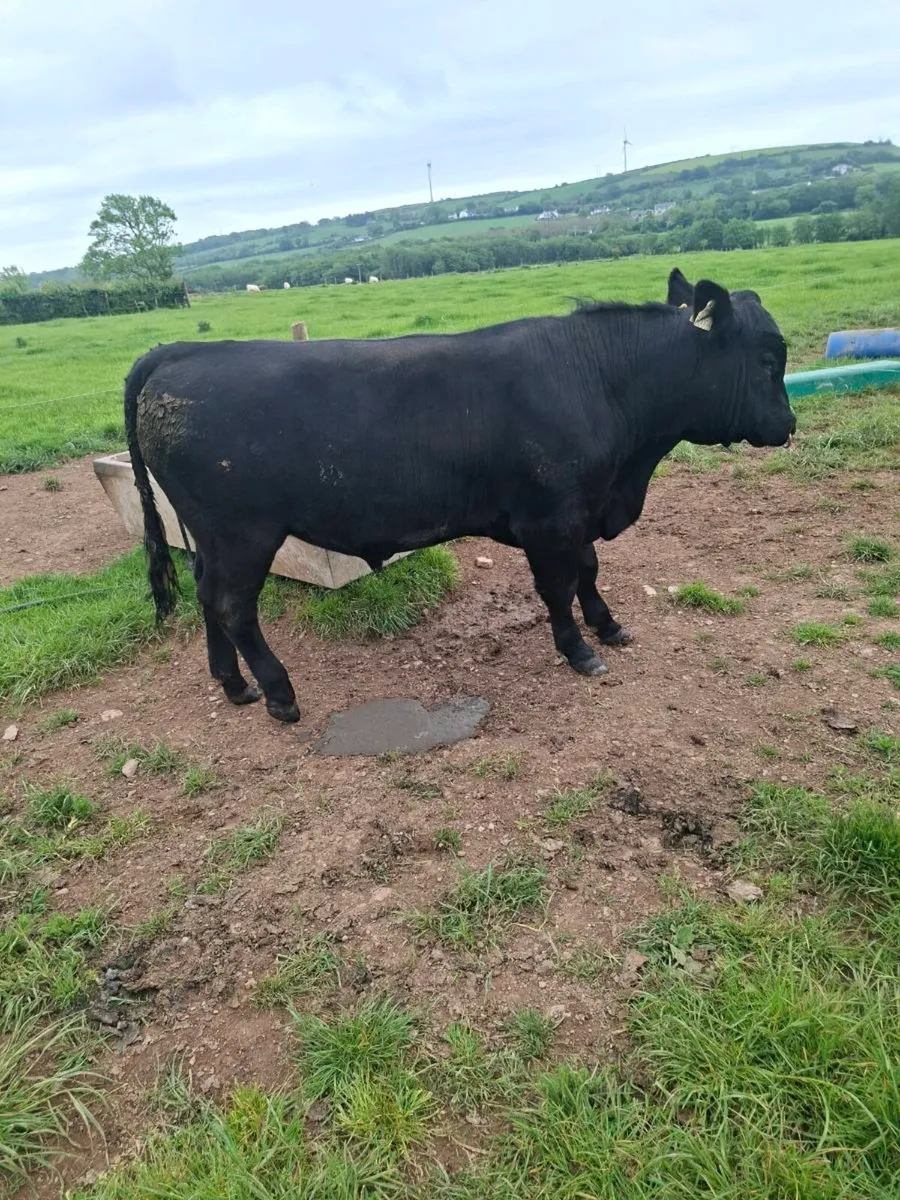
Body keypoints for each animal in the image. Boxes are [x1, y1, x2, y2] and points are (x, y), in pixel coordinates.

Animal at [124, 269, 795, 724]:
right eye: (768, 358)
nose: (788, 424)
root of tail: (179, 351)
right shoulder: (550, 518)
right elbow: (559, 586)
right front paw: (579, 649)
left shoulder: (578, 512)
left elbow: (588, 570)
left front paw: (609, 627)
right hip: (243, 533)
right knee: (233, 605)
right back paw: (280, 694)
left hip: (209, 535)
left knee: (207, 596)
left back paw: (234, 685)